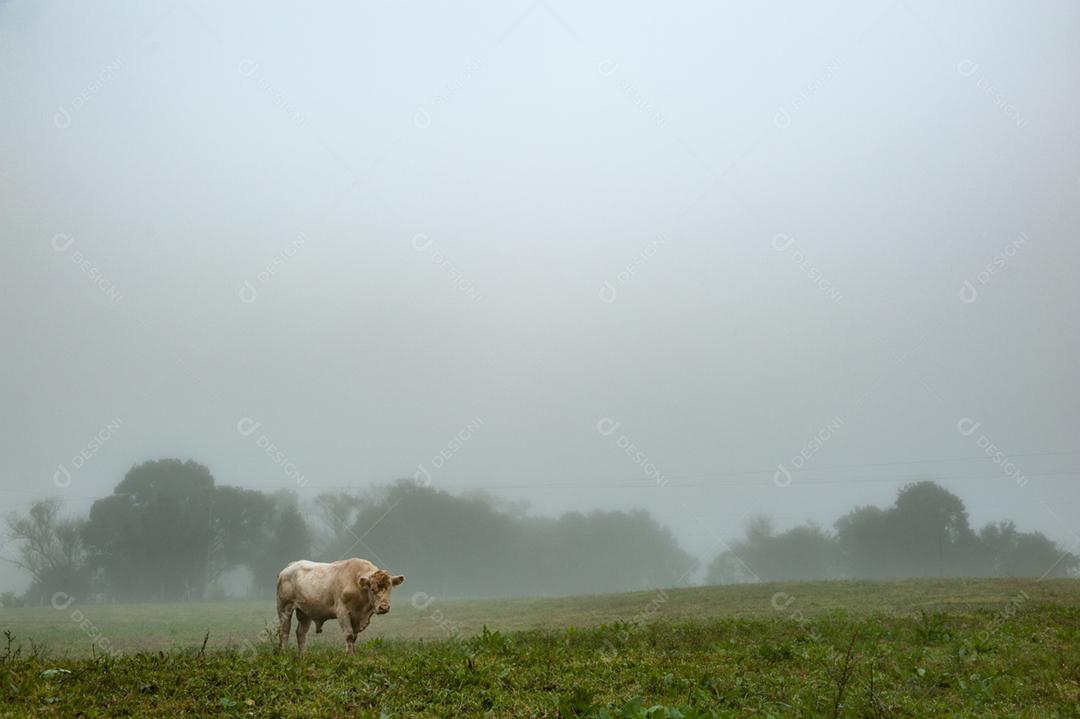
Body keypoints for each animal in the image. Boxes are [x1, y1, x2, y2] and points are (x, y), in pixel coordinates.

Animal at [278, 557, 406, 652]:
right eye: (372, 589)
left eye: (390, 588)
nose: (384, 607)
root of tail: (290, 566)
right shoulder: (342, 612)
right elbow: (349, 635)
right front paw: (349, 656)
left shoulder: (357, 616)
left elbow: (354, 637)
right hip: (284, 608)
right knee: (285, 631)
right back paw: (284, 653)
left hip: (305, 612)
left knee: (301, 633)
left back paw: (303, 655)